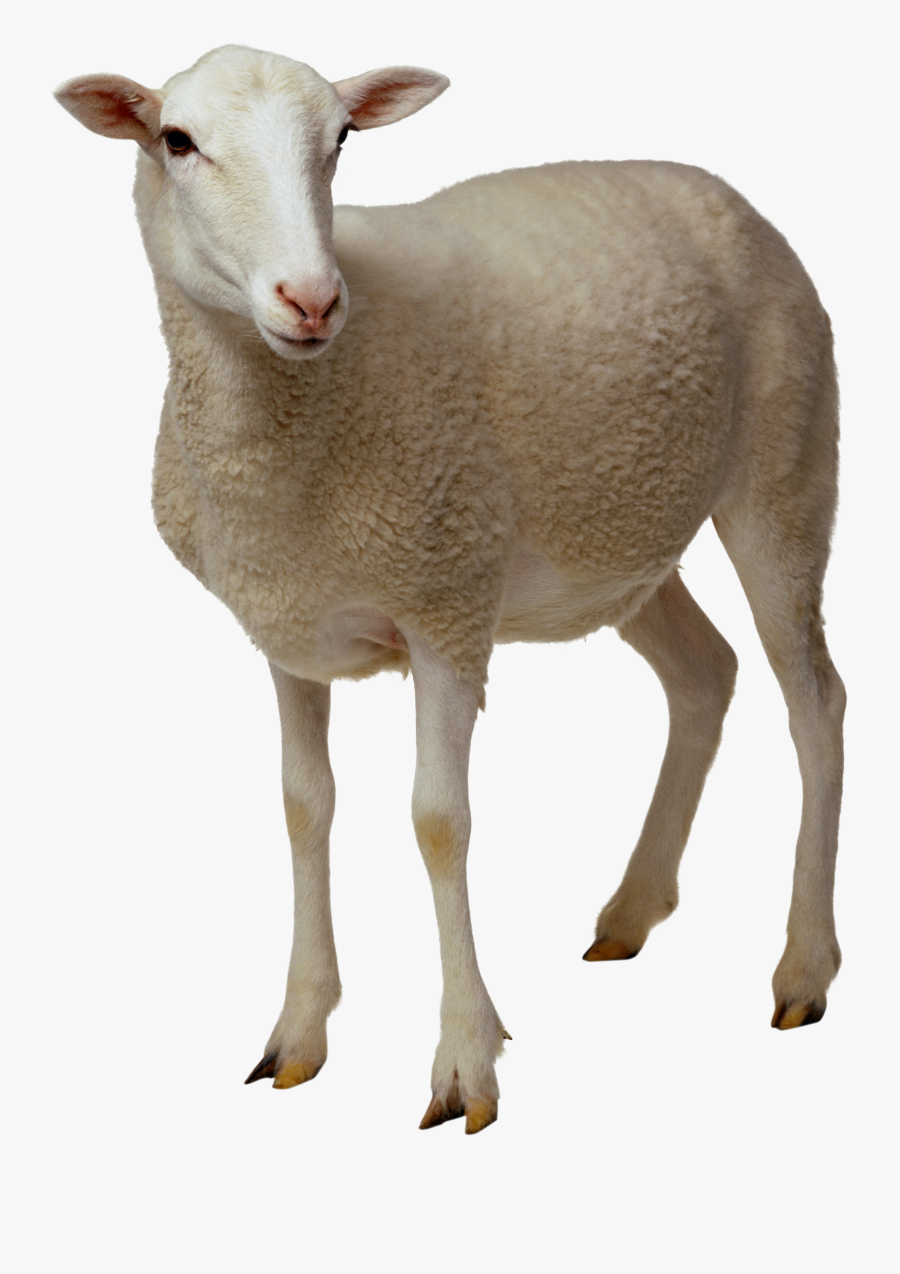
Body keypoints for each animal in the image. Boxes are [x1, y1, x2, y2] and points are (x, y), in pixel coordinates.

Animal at [55, 43, 845, 1135]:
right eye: (176, 140)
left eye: (342, 140)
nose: (311, 299)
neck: (300, 413)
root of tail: (718, 189)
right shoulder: (288, 625)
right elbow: (303, 805)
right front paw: (299, 1031)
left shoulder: (447, 607)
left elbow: (439, 820)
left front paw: (466, 1061)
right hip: (620, 539)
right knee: (705, 674)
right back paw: (632, 909)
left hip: (786, 465)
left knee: (814, 701)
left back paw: (804, 964)